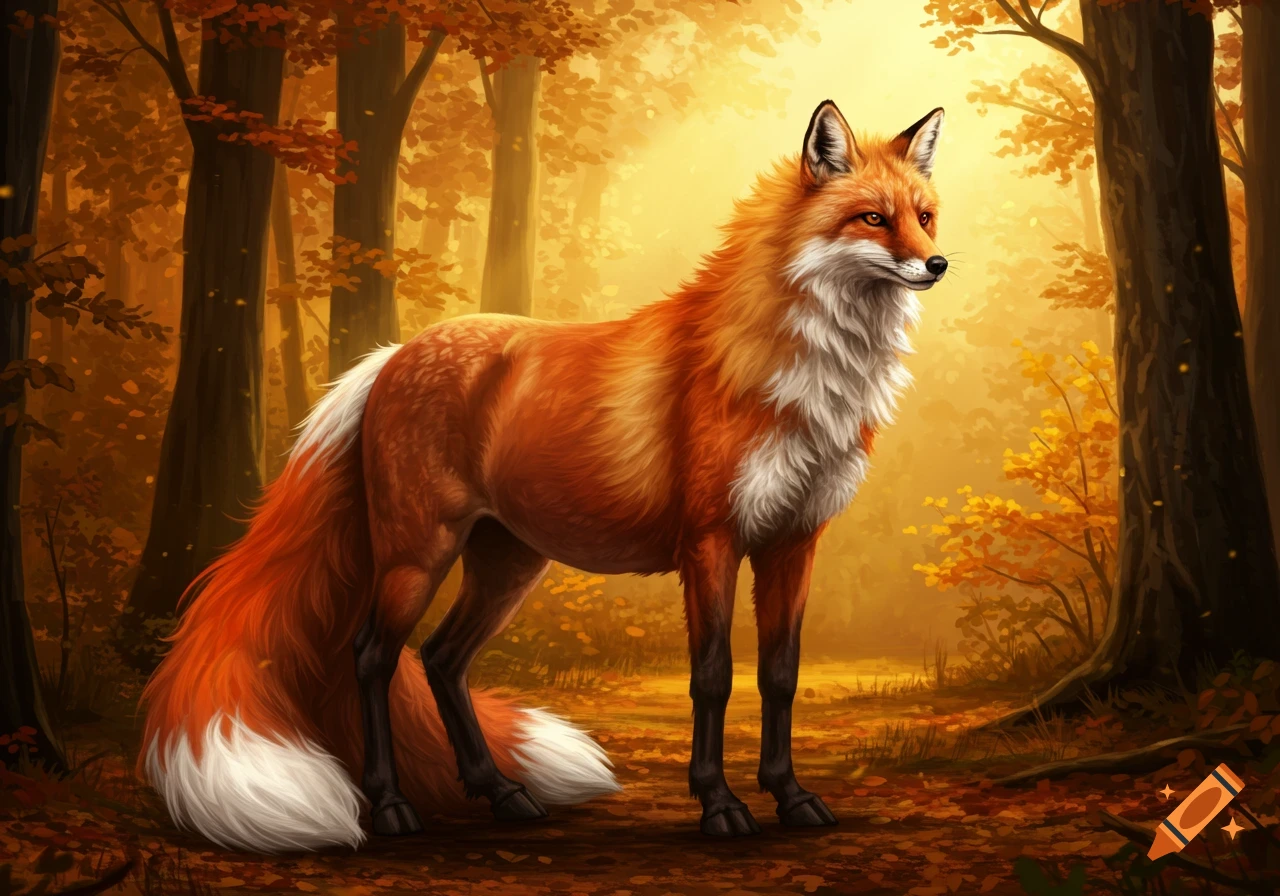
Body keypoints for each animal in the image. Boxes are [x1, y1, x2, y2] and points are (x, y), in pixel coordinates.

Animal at [139, 99, 947, 853]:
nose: (938, 265)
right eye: (873, 219)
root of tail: (395, 352)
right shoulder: (711, 540)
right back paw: (391, 805)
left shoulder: (794, 541)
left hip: (508, 566)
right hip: (416, 554)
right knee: (370, 657)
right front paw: (719, 804)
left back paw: (499, 790)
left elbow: (780, 676)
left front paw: (792, 796)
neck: (803, 383)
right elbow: (713, 677)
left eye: (925, 218)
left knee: (441, 660)